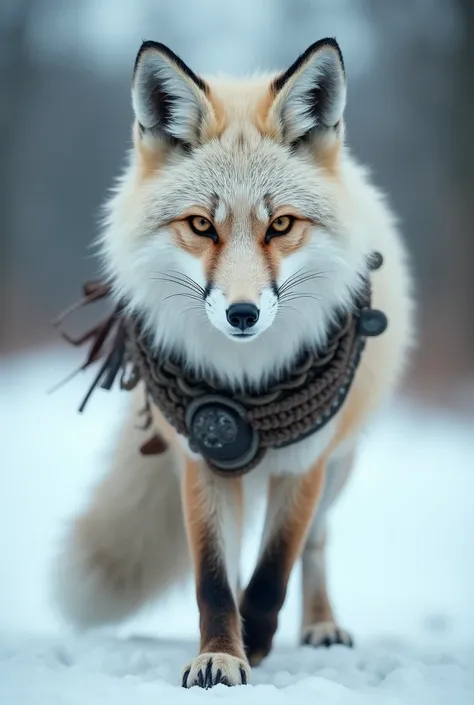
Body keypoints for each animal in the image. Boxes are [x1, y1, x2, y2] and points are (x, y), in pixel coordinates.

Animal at [53, 40, 412, 688]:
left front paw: (258, 642)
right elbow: (217, 579)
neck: (249, 384)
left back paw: (321, 625)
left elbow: (272, 573)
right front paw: (221, 654)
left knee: (316, 546)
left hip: (339, 468)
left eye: (281, 224)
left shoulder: (305, 463)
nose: (242, 314)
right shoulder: (202, 457)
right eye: (201, 225)